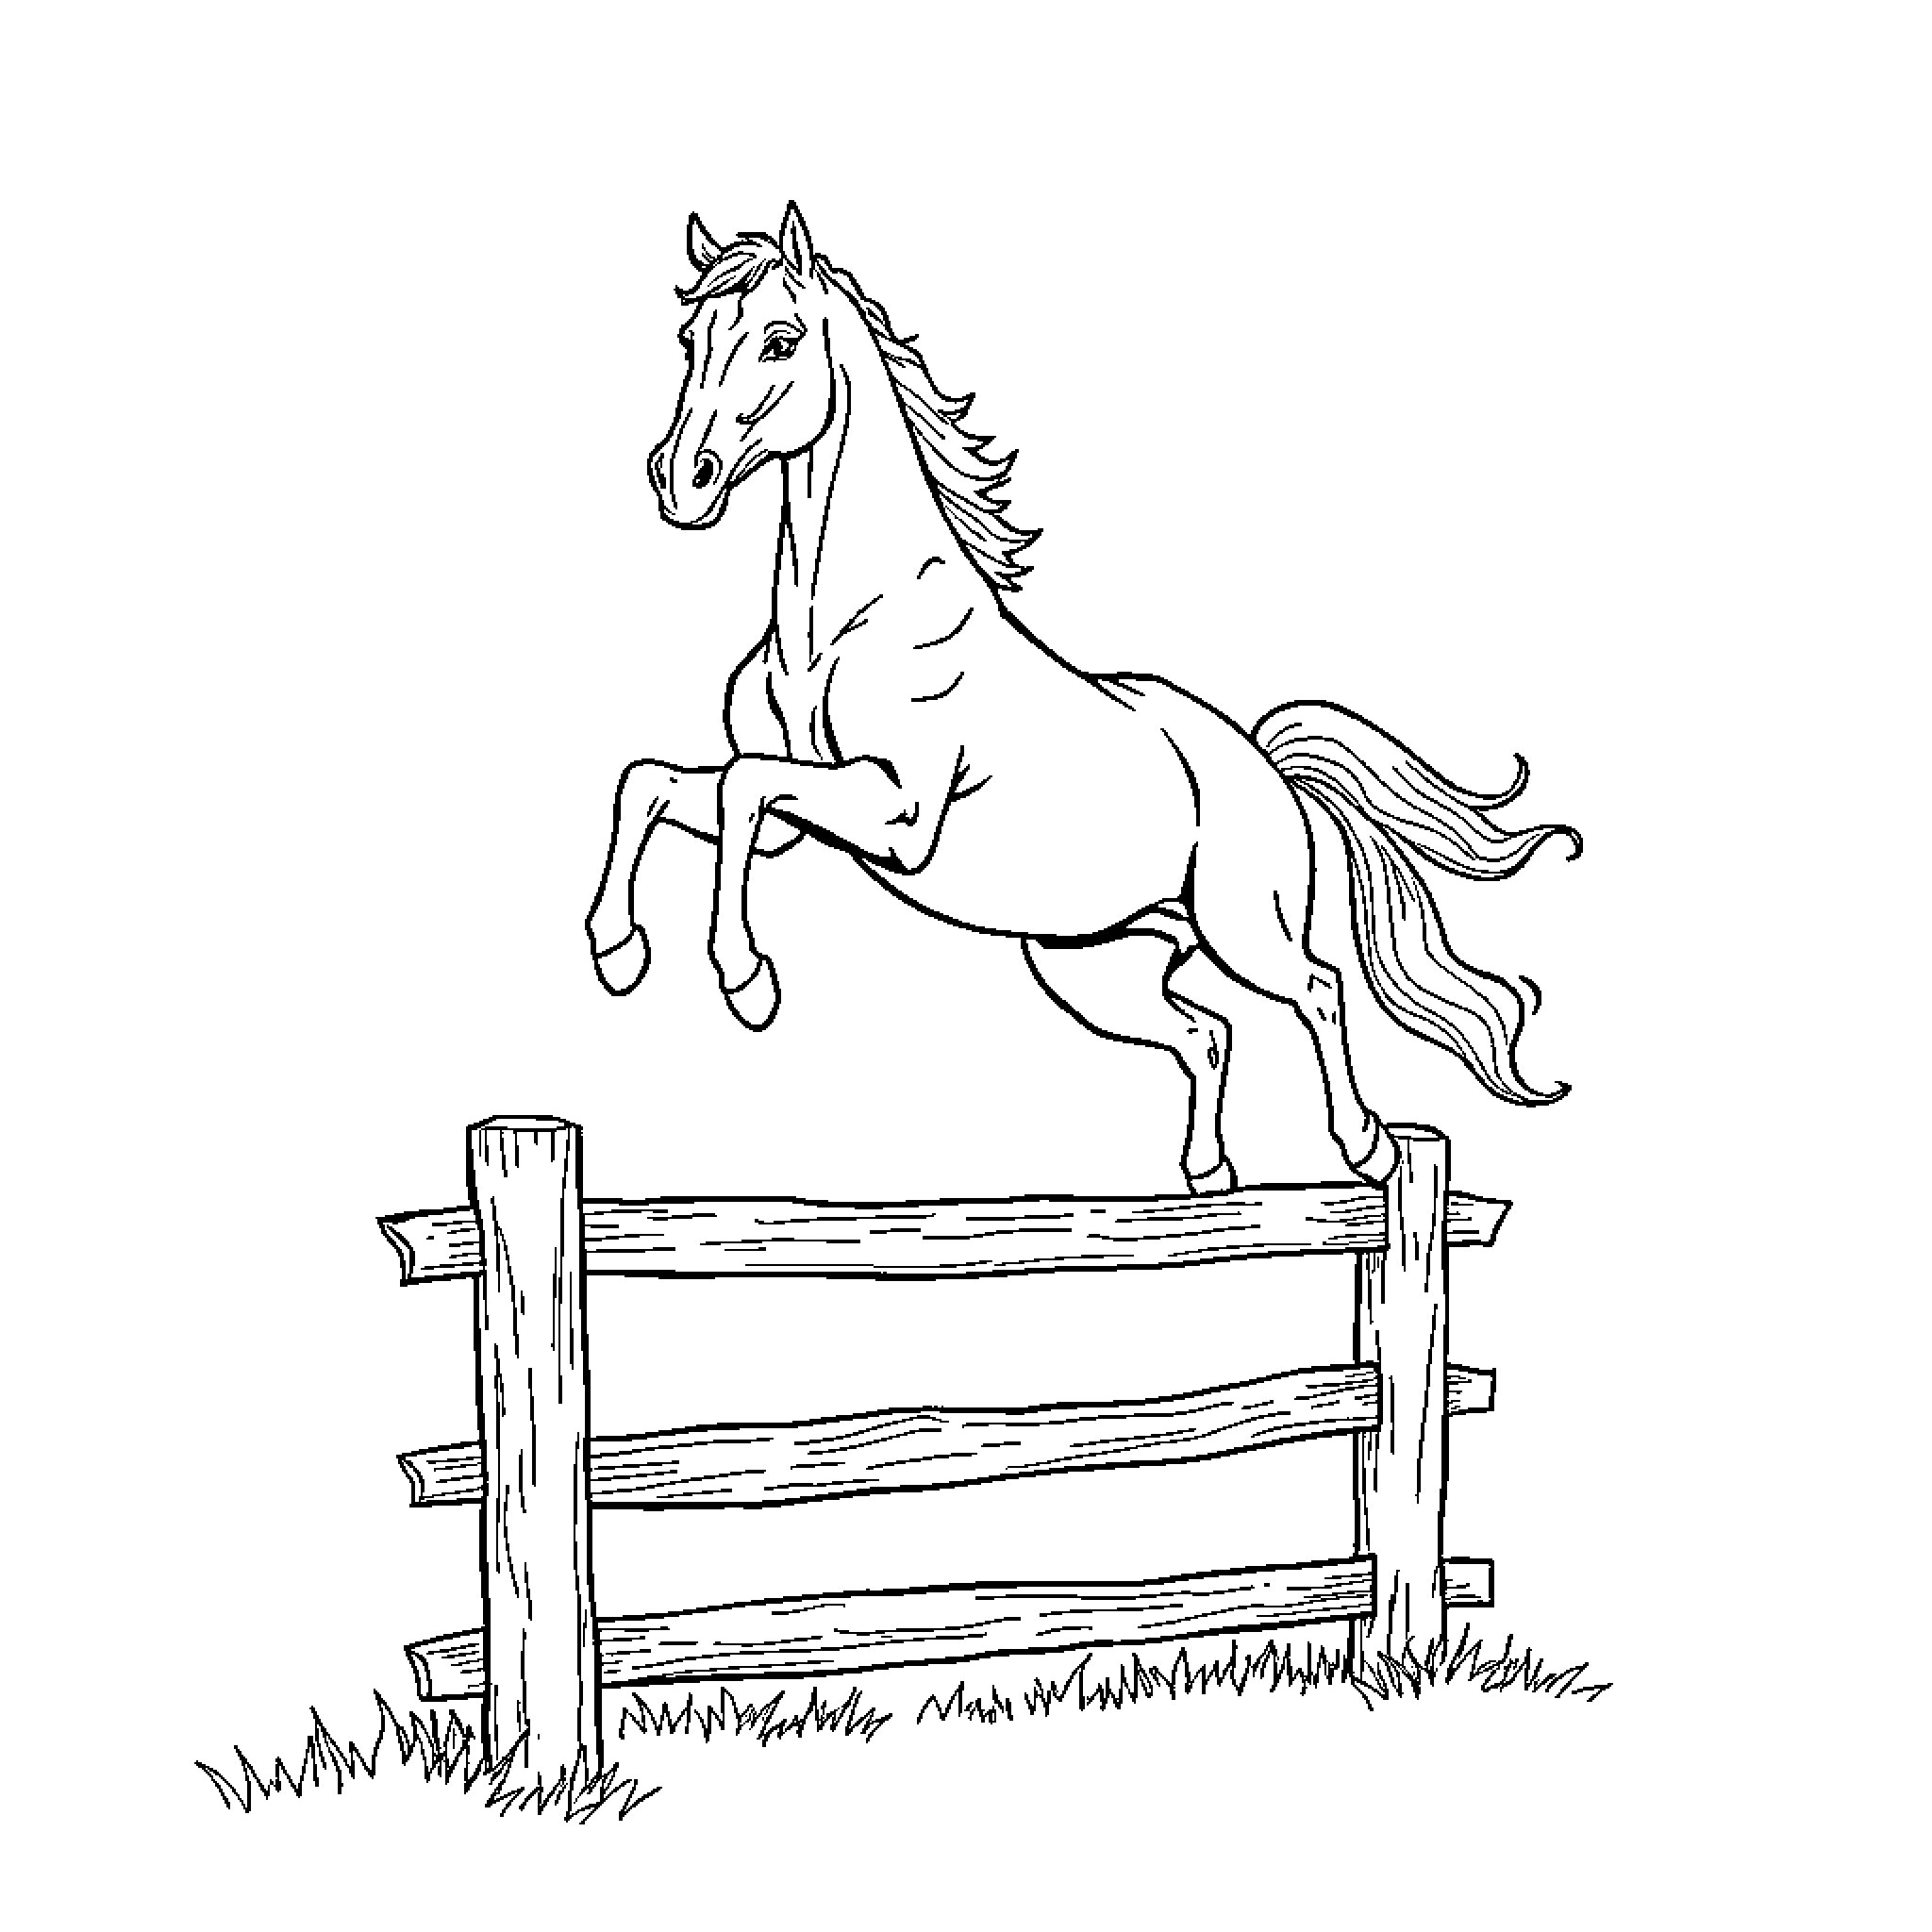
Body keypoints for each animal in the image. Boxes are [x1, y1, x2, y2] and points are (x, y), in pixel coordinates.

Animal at [587, 203, 1580, 1189]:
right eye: (690, 338)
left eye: (780, 341)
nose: (680, 479)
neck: (840, 628)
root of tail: (1264, 766)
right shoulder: (797, 825)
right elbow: (666, 783)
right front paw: (618, 952)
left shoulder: (898, 814)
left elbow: (740, 786)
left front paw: (746, 984)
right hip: (1091, 964)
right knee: (1205, 1033)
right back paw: (1206, 1178)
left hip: (1241, 929)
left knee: (1317, 989)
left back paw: (1366, 1143)